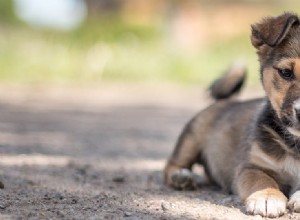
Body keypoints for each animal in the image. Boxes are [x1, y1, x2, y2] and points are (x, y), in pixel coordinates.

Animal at [164, 12, 300, 218]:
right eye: (286, 72)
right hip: (190, 139)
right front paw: (267, 197)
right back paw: (181, 177)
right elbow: (262, 180)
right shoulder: (250, 167)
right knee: (171, 166)